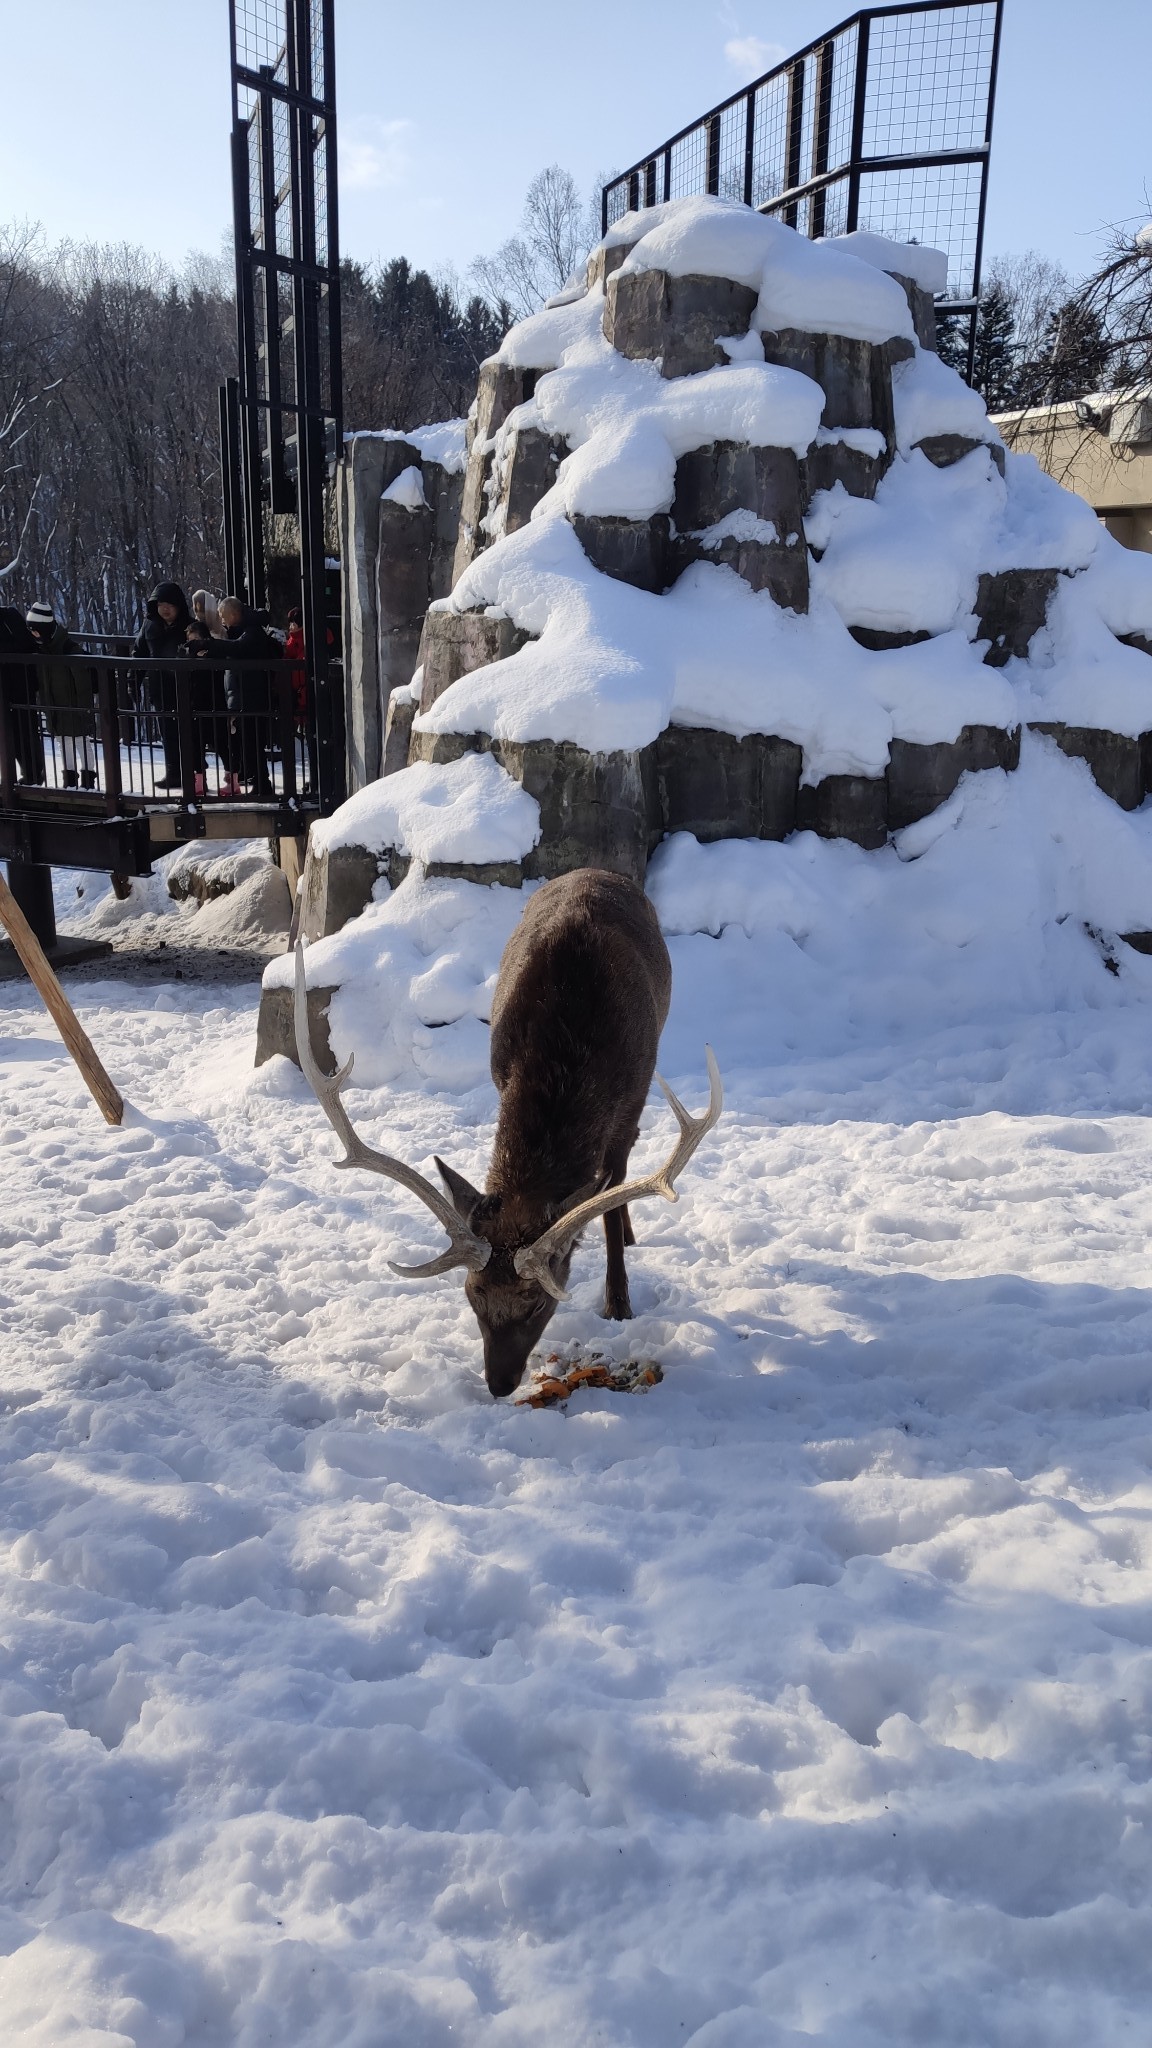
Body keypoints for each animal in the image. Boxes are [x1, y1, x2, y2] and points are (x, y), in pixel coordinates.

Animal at [291, 856, 717, 1400]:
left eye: (537, 1301)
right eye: (472, 1294)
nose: (497, 1383)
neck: (569, 1044)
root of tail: (593, 869)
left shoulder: (633, 1095)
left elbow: (610, 1189)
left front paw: (618, 1303)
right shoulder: (499, 1075)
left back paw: (626, 1232)